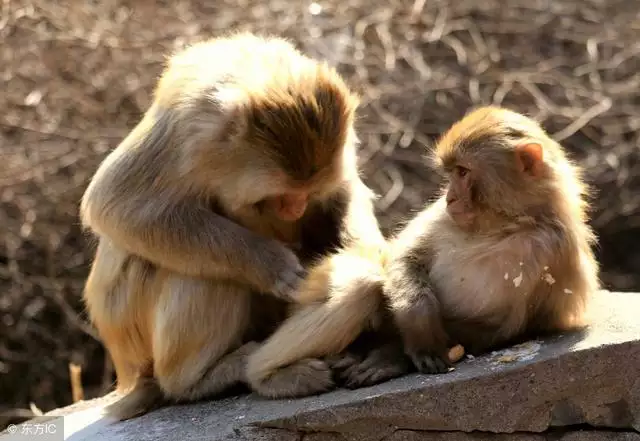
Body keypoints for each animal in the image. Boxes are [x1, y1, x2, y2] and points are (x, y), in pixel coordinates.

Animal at [83, 31, 388, 420]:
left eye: (307, 193)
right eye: (280, 195)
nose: (295, 208)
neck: (258, 75)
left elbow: (343, 191)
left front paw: (359, 248)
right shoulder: (189, 133)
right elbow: (115, 205)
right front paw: (270, 264)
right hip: (140, 342)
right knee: (204, 273)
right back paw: (197, 380)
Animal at [249, 105, 600, 394]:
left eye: (463, 172)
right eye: (451, 173)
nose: (450, 197)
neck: (503, 225)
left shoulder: (553, 252)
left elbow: (501, 326)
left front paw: (390, 356)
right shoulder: (442, 217)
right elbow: (403, 259)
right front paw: (416, 322)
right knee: (365, 283)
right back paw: (264, 374)